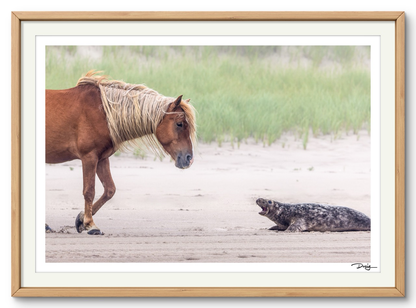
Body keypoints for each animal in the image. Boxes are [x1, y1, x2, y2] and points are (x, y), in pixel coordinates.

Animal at [46, 71, 196, 236]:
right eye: (179, 124)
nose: (188, 158)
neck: (104, 113)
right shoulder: (89, 157)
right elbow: (89, 191)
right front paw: (90, 224)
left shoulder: (101, 159)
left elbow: (110, 190)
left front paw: (81, 219)